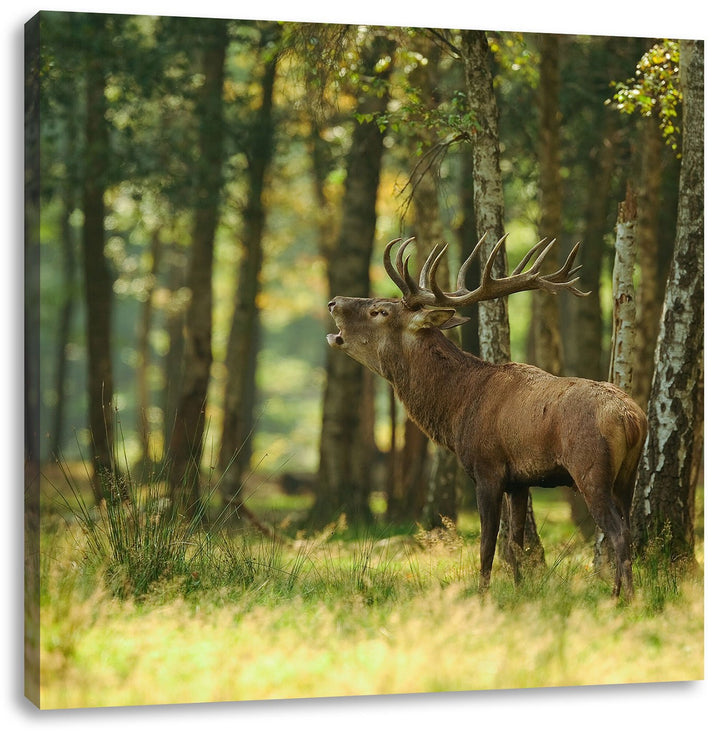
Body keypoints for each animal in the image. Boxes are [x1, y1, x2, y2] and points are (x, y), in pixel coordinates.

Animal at [326, 234, 647, 599]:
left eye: (380, 311)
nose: (333, 302)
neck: (457, 408)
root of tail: (631, 419)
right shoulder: (520, 481)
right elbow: (515, 544)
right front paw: (521, 591)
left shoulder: (486, 469)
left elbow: (487, 545)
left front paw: (483, 594)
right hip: (628, 475)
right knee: (628, 528)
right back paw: (620, 592)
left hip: (590, 469)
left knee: (617, 531)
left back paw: (624, 597)